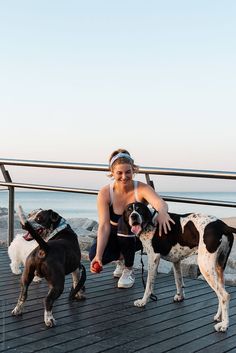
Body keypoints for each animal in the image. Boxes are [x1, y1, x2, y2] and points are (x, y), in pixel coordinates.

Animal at [118, 202, 236, 332]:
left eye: (139, 210)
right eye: (129, 210)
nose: (134, 216)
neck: (150, 223)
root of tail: (223, 226)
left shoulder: (153, 258)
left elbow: (149, 284)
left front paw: (143, 302)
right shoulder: (176, 261)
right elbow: (178, 280)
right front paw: (180, 296)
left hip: (205, 266)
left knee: (225, 295)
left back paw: (224, 325)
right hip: (219, 267)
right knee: (220, 294)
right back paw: (219, 317)